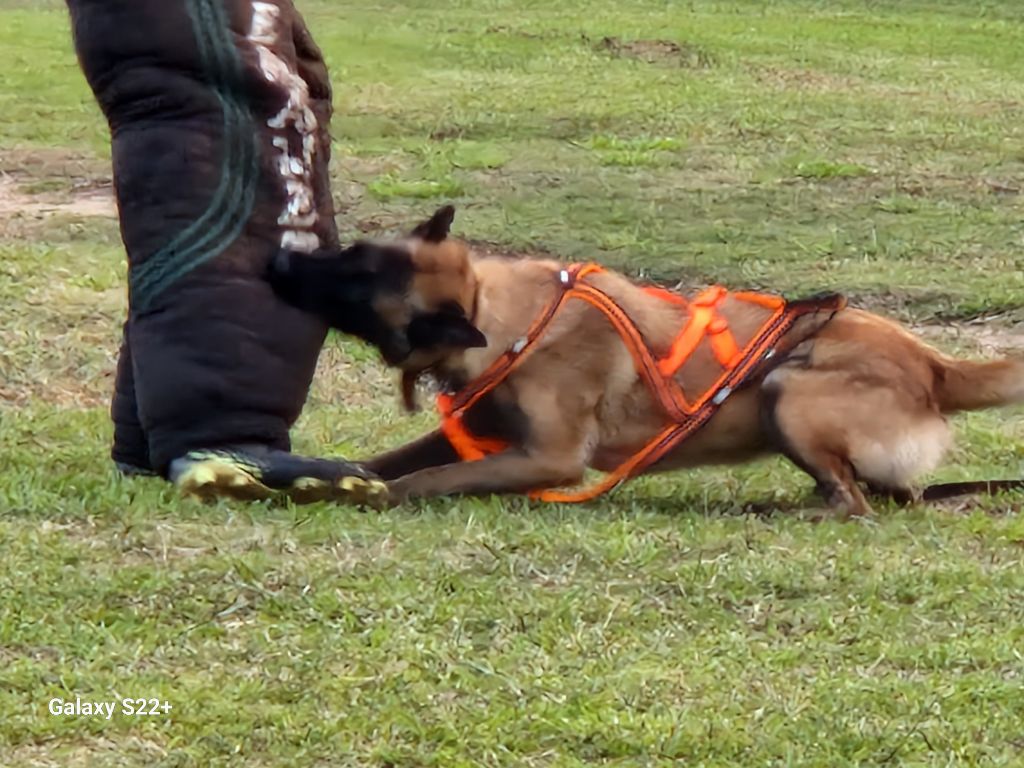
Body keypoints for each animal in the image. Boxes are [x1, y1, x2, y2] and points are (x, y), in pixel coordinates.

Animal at [268, 207, 1019, 518]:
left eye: (355, 283)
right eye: (350, 252)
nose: (277, 260)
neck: (498, 315)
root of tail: (935, 366)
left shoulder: (550, 460)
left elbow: (431, 479)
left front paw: (375, 497)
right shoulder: (476, 431)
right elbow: (388, 460)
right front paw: (325, 477)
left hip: (789, 388)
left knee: (856, 503)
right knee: (897, 495)